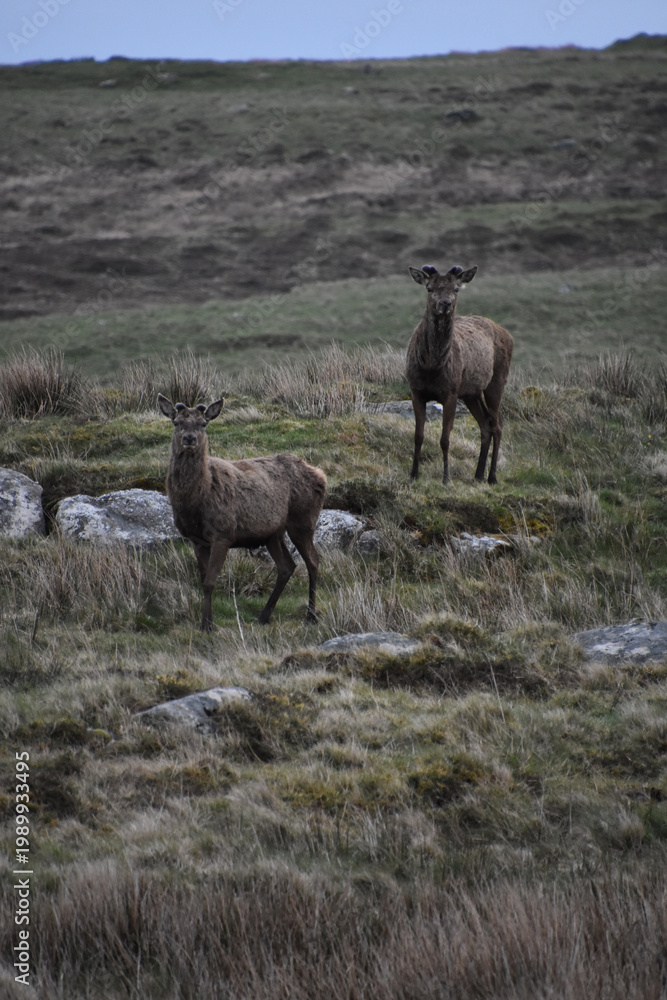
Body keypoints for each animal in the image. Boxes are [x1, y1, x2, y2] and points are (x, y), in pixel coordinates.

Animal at [158, 394, 326, 631]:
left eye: (203, 423)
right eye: (176, 422)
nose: (189, 438)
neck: (197, 502)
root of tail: (321, 475)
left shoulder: (223, 533)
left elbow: (210, 582)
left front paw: (207, 625)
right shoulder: (196, 539)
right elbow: (203, 580)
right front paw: (207, 622)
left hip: (303, 520)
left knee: (313, 561)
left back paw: (310, 615)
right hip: (273, 533)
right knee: (287, 566)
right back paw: (264, 616)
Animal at [405, 264, 513, 485]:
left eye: (456, 289)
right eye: (429, 288)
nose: (445, 303)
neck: (431, 367)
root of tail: (509, 336)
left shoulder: (451, 392)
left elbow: (445, 439)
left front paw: (446, 478)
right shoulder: (416, 390)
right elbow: (418, 435)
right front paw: (413, 474)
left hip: (497, 381)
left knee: (497, 425)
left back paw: (492, 476)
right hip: (472, 392)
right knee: (486, 425)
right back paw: (478, 474)